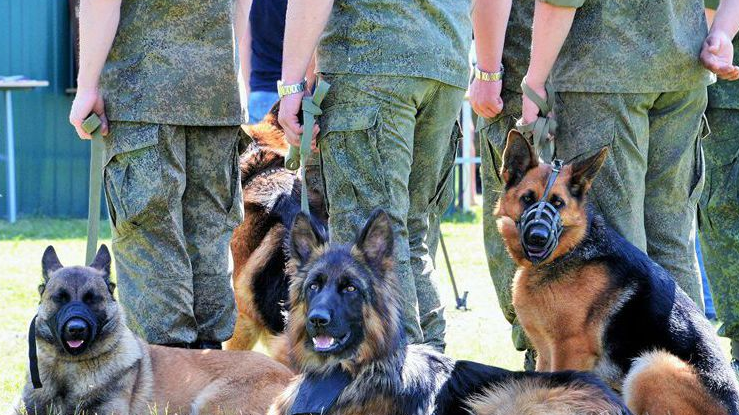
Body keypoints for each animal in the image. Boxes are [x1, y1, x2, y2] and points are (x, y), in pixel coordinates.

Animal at [14, 245, 292, 415]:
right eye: (59, 298)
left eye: (92, 299)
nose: (76, 330)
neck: (69, 368)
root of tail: (291, 376)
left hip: (208, 404)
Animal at [494, 132, 739, 415]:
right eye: (527, 198)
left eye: (558, 203)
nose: (537, 237)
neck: (571, 249)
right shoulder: (545, 354)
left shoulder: (570, 350)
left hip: (652, 365)